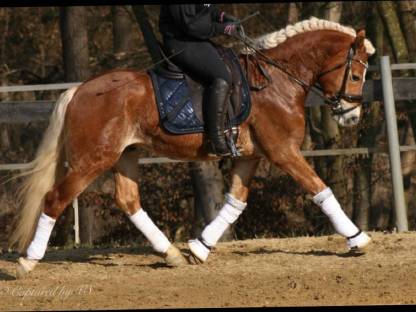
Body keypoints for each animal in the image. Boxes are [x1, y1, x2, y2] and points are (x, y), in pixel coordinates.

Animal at [8, 16, 374, 278]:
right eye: (356, 75)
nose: (352, 116)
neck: (277, 81)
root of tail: (79, 91)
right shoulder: (283, 152)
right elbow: (320, 189)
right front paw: (357, 238)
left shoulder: (250, 157)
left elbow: (234, 203)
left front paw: (199, 247)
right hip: (92, 160)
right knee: (55, 199)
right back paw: (29, 261)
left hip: (124, 156)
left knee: (128, 200)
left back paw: (169, 254)